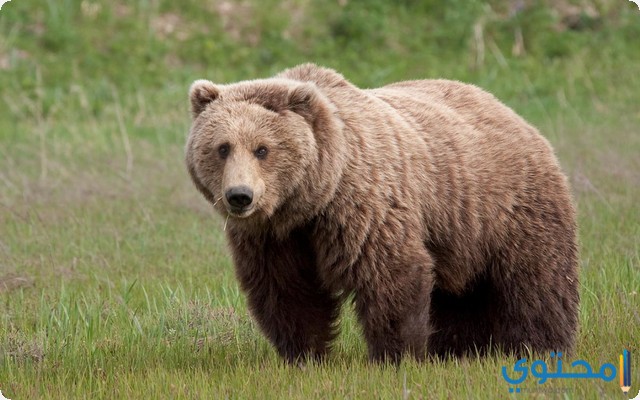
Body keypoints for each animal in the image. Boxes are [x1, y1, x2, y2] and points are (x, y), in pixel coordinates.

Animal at [184, 63, 580, 366]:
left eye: (262, 149)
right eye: (222, 148)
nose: (239, 196)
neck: (311, 200)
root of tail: (510, 112)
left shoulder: (363, 208)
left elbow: (388, 274)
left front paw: (396, 356)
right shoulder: (274, 237)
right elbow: (287, 290)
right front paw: (303, 355)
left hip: (507, 207)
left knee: (536, 279)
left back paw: (540, 346)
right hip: (459, 230)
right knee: (459, 295)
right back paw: (459, 349)